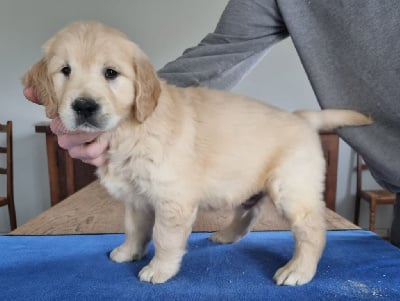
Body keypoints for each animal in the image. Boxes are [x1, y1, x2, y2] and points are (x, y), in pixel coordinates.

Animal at [22, 21, 372, 286]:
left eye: (111, 73)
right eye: (65, 70)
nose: (84, 106)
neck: (129, 129)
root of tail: (302, 117)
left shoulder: (172, 198)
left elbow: (164, 237)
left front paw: (159, 269)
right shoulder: (136, 197)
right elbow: (134, 228)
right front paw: (128, 251)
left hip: (291, 188)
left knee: (312, 229)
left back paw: (298, 270)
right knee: (249, 213)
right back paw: (226, 235)